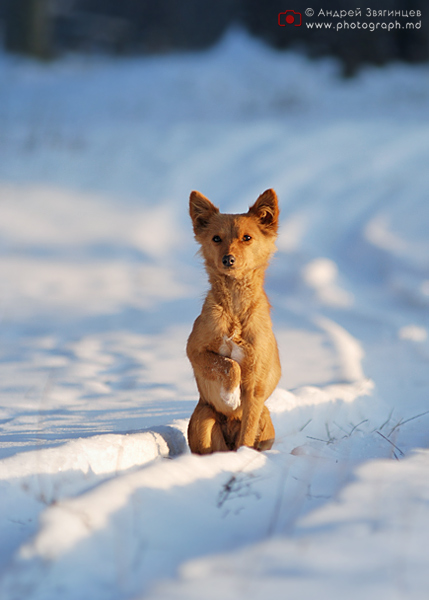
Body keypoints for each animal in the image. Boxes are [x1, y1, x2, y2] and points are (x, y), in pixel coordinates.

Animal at [185, 190, 280, 452]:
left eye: (247, 238)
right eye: (216, 238)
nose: (228, 259)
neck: (235, 309)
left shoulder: (256, 385)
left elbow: (247, 429)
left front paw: (244, 453)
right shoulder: (195, 351)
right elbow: (228, 364)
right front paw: (230, 395)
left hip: (266, 418)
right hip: (204, 417)